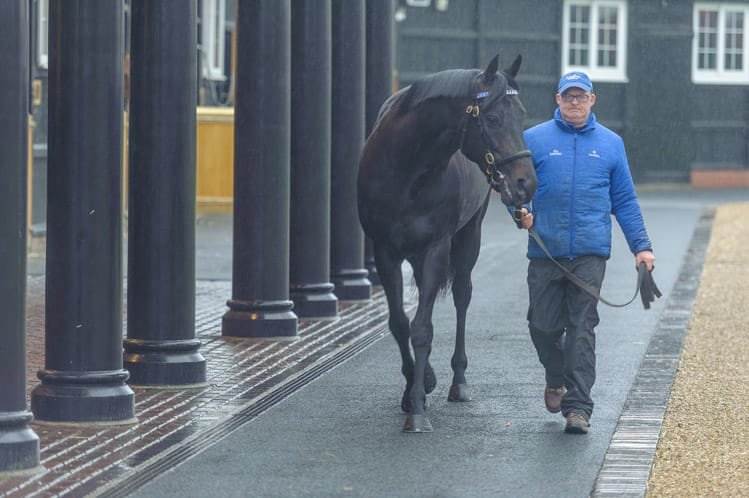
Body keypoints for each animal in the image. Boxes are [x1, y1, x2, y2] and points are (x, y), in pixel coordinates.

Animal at [357, 55, 537, 433]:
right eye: (493, 118)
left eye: (522, 114)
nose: (526, 183)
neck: (407, 170)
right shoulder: (385, 251)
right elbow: (400, 323)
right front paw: (416, 386)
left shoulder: (436, 249)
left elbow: (422, 328)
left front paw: (417, 410)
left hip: (470, 236)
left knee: (462, 296)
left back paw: (459, 381)